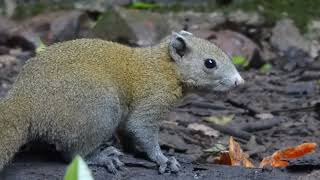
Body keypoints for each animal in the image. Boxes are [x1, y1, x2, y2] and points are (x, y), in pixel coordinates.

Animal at [0, 30, 242, 174]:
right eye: (210, 63)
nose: (239, 81)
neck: (166, 67)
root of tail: (25, 98)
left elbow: (128, 132)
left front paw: (135, 151)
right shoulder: (154, 98)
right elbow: (141, 128)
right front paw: (162, 159)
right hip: (100, 110)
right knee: (72, 154)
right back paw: (101, 157)